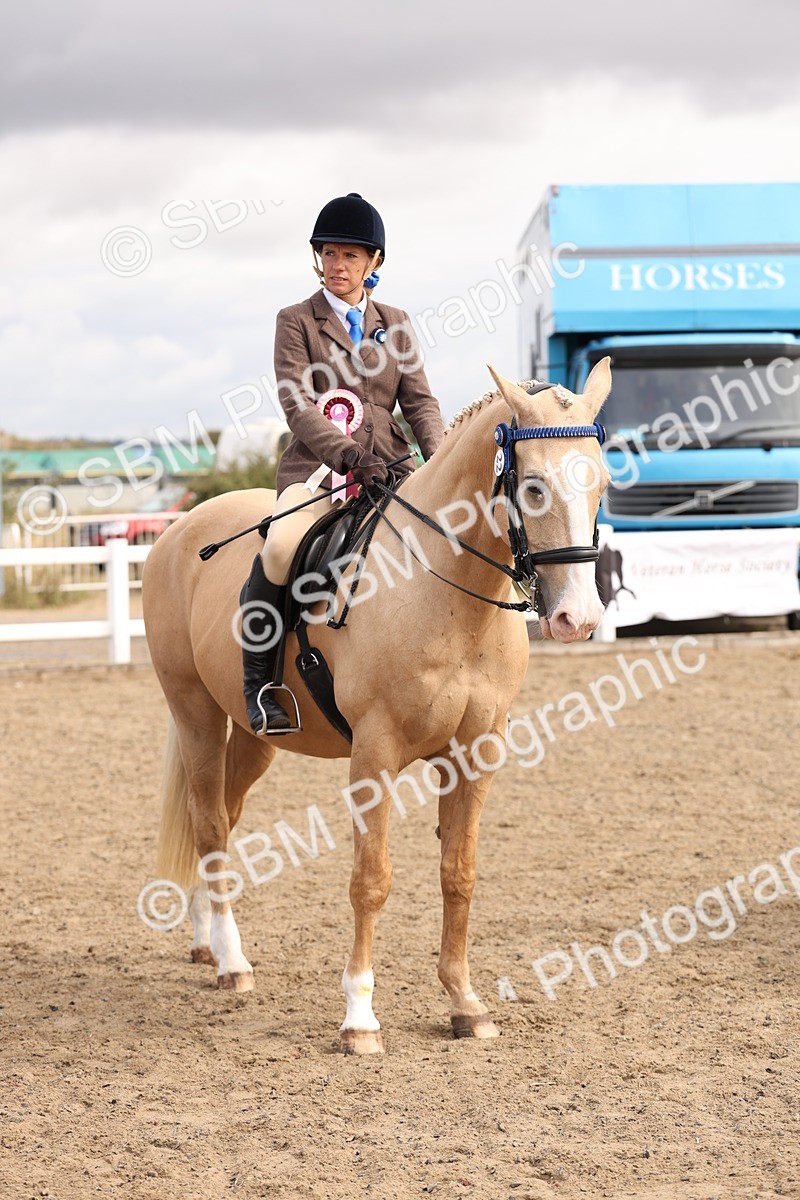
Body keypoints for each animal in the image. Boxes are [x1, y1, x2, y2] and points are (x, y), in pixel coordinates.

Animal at [142, 359, 612, 1054]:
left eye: (602, 482)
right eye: (532, 487)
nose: (577, 619)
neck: (447, 592)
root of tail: (177, 529)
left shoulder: (477, 753)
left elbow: (459, 874)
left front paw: (465, 1003)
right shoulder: (375, 752)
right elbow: (371, 880)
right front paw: (359, 1017)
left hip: (255, 736)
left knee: (221, 816)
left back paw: (206, 942)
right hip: (195, 713)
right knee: (209, 825)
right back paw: (232, 962)